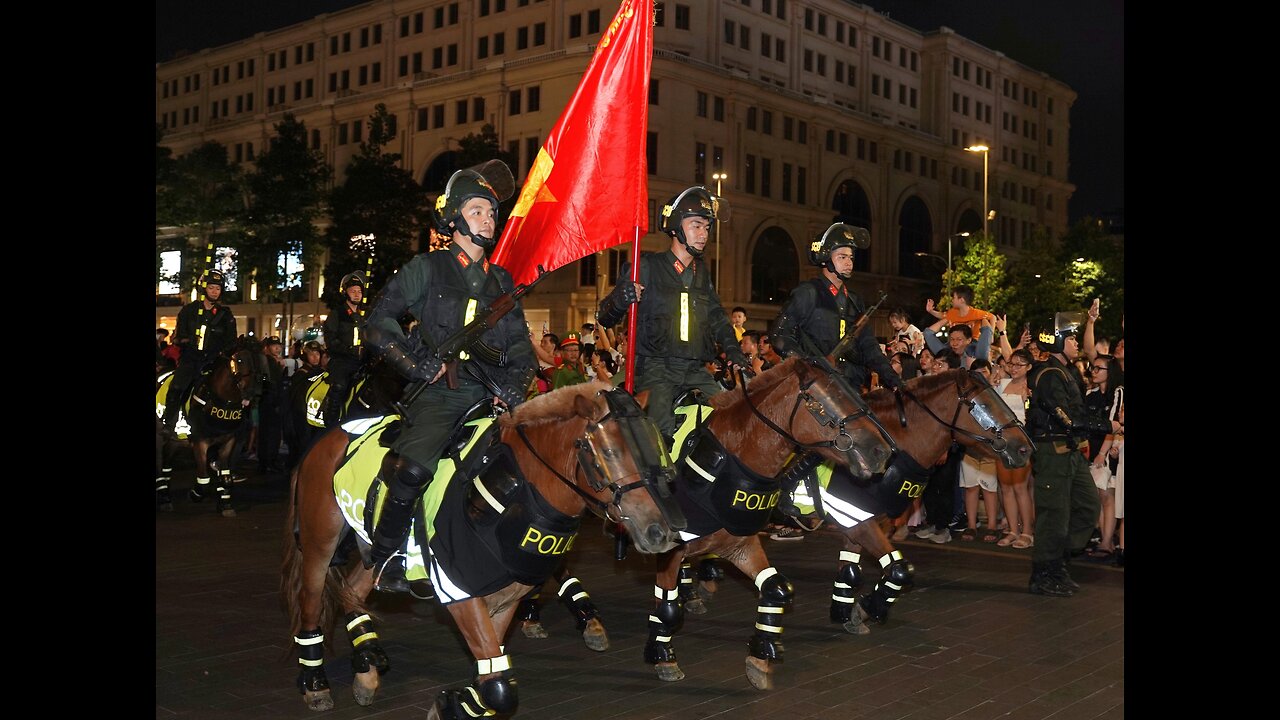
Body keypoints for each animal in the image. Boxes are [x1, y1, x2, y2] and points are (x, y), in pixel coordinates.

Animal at [154, 345, 259, 509]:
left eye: (256, 359)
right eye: (239, 360)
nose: (251, 391)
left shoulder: (228, 441)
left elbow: (226, 477)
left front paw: (225, 504)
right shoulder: (200, 442)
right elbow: (204, 479)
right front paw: (194, 494)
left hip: (175, 441)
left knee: (166, 465)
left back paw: (165, 495)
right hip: (159, 437)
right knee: (159, 467)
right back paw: (164, 498)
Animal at [281, 379, 691, 712]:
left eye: (654, 446)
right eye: (608, 453)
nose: (660, 531)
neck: (521, 491)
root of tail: (329, 437)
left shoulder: (505, 599)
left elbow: (493, 674)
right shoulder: (458, 590)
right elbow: (499, 687)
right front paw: (447, 705)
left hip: (373, 553)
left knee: (353, 589)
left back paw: (367, 665)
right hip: (319, 546)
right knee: (312, 604)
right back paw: (315, 684)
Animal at [637, 356, 896, 686]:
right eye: (821, 404)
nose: (880, 451)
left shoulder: (739, 543)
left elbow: (777, 588)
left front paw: (760, 658)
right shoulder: (670, 551)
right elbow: (667, 608)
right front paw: (663, 657)